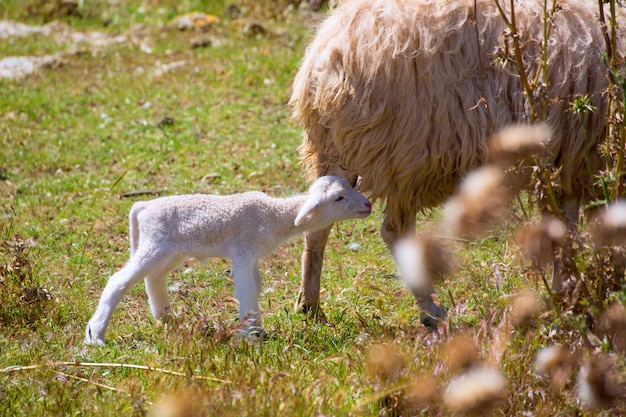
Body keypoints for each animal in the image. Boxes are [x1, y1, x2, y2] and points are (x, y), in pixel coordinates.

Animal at [86, 176, 370, 344]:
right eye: (338, 198)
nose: (368, 205)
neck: (273, 216)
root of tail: (143, 206)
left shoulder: (252, 256)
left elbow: (256, 287)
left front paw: (256, 329)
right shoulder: (243, 252)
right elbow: (246, 291)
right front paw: (249, 337)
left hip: (171, 250)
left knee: (154, 278)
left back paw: (167, 318)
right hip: (154, 244)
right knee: (118, 281)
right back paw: (95, 336)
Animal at [288, 0, 624, 324]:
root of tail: (328, 51)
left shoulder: (567, 166)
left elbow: (564, 229)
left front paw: (565, 296)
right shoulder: (571, 157)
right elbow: (564, 232)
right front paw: (568, 299)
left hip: (338, 149)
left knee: (318, 225)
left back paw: (309, 306)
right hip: (407, 152)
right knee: (394, 230)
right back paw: (433, 311)